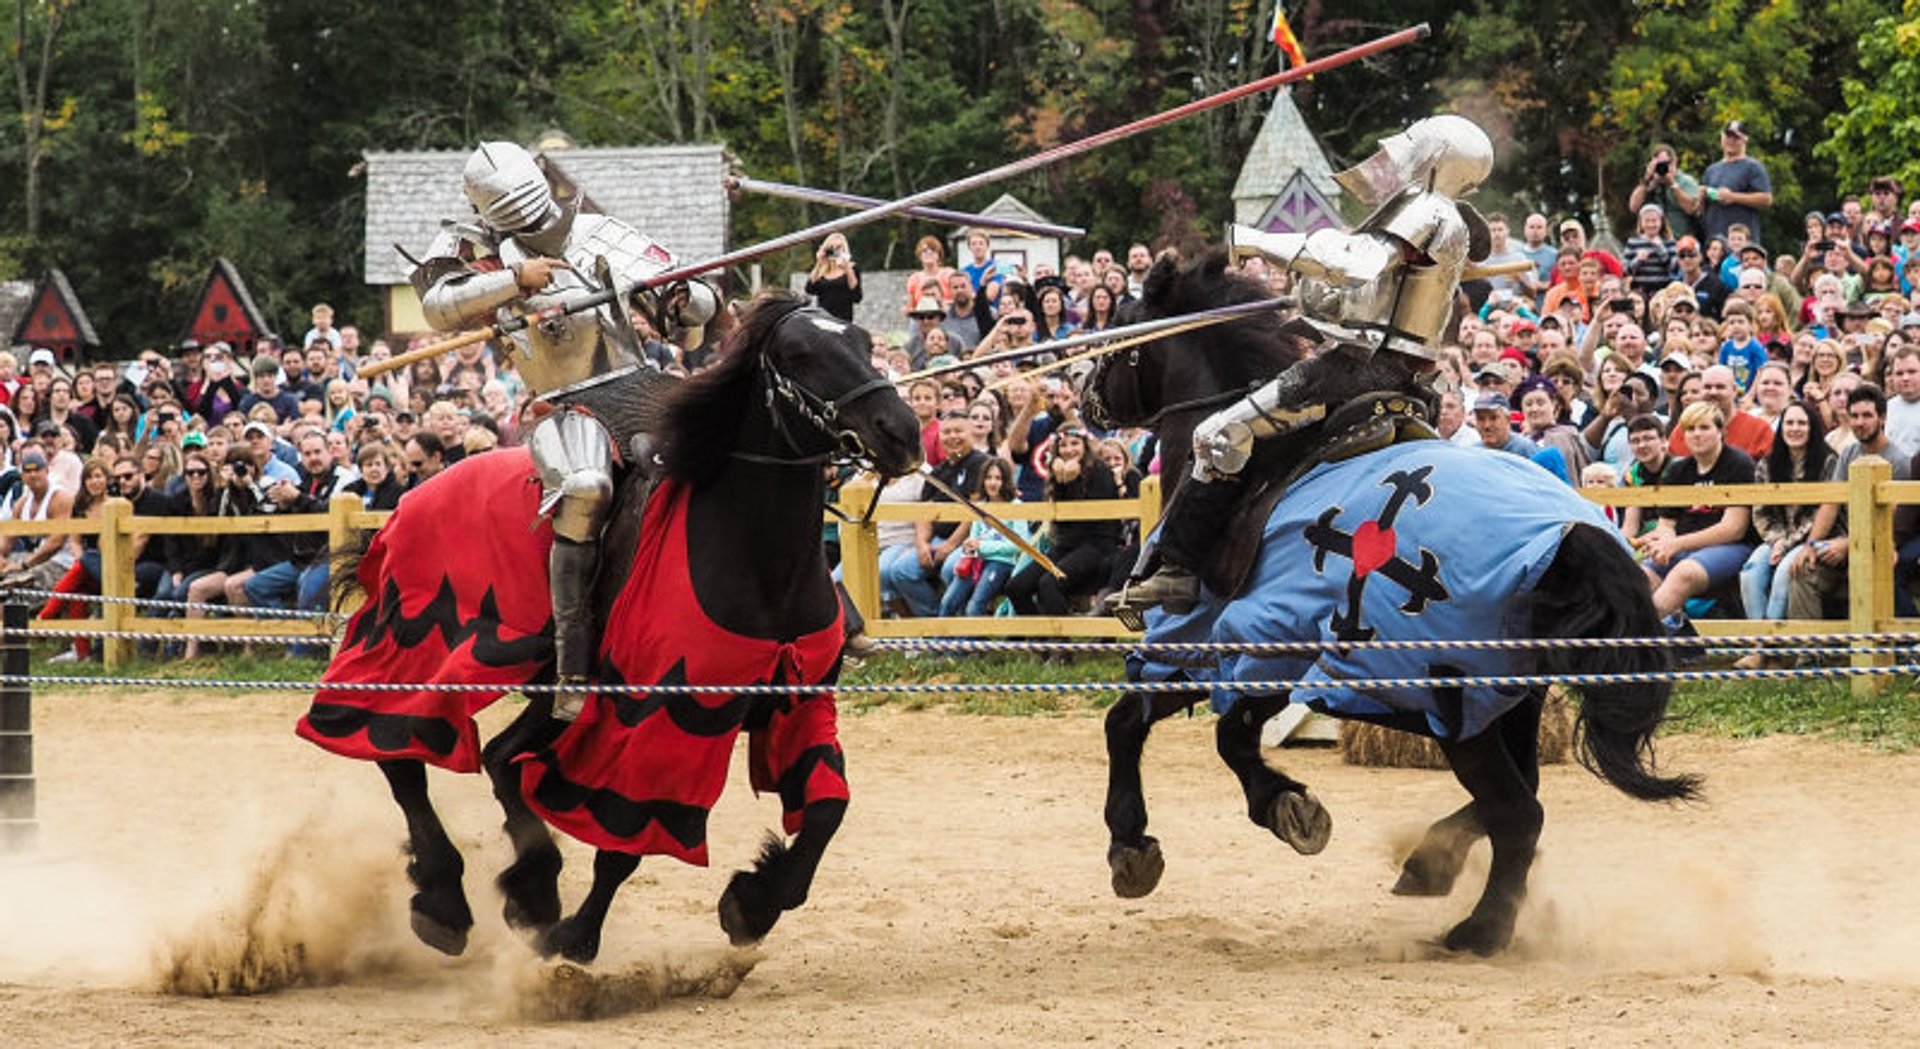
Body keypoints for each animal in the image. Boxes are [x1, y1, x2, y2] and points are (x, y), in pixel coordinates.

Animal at [299, 292, 921, 956]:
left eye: (863, 341)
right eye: (799, 354)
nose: (901, 433)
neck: (755, 561)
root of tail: (412, 496)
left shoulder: (801, 704)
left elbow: (828, 807)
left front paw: (754, 902)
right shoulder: (653, 722)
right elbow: (623, 842)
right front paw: (577, 937)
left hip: (545, 690)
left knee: (498, 758)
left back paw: (531, 887)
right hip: (422, 640)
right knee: (399, 752)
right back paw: (447, 899)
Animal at [1090, 251, 1704, 945]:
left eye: (1118, 330)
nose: (1085, 395)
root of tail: (1575, 534)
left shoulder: (1232, 645)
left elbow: (1198, 733)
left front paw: (1272, 808)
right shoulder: (1242, 653)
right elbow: (1142, 723)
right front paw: (1142, 843)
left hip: (1456, 698)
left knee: (1518, 811)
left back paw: (1480, 931)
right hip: (1508, 696)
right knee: (1522, 795)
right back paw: (1435, 865)